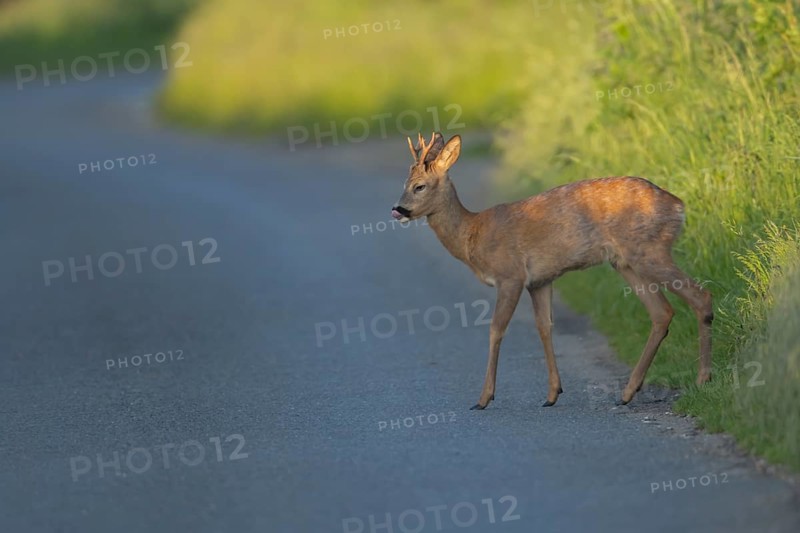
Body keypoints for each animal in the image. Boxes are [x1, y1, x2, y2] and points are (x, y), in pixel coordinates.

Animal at [391, 132, 713, 410]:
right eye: (404, 184)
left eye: (419, 186)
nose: (397, 210)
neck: (473, 235)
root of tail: (679, 206)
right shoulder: (540, 281)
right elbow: (544, 327)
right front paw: (552, 393)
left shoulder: (511, 275)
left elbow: (496, 329)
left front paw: (483, 398)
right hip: (625, 262)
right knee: (662, 312)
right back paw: (628, 392)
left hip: (649, 251)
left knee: (700, 296)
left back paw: (702, 380)